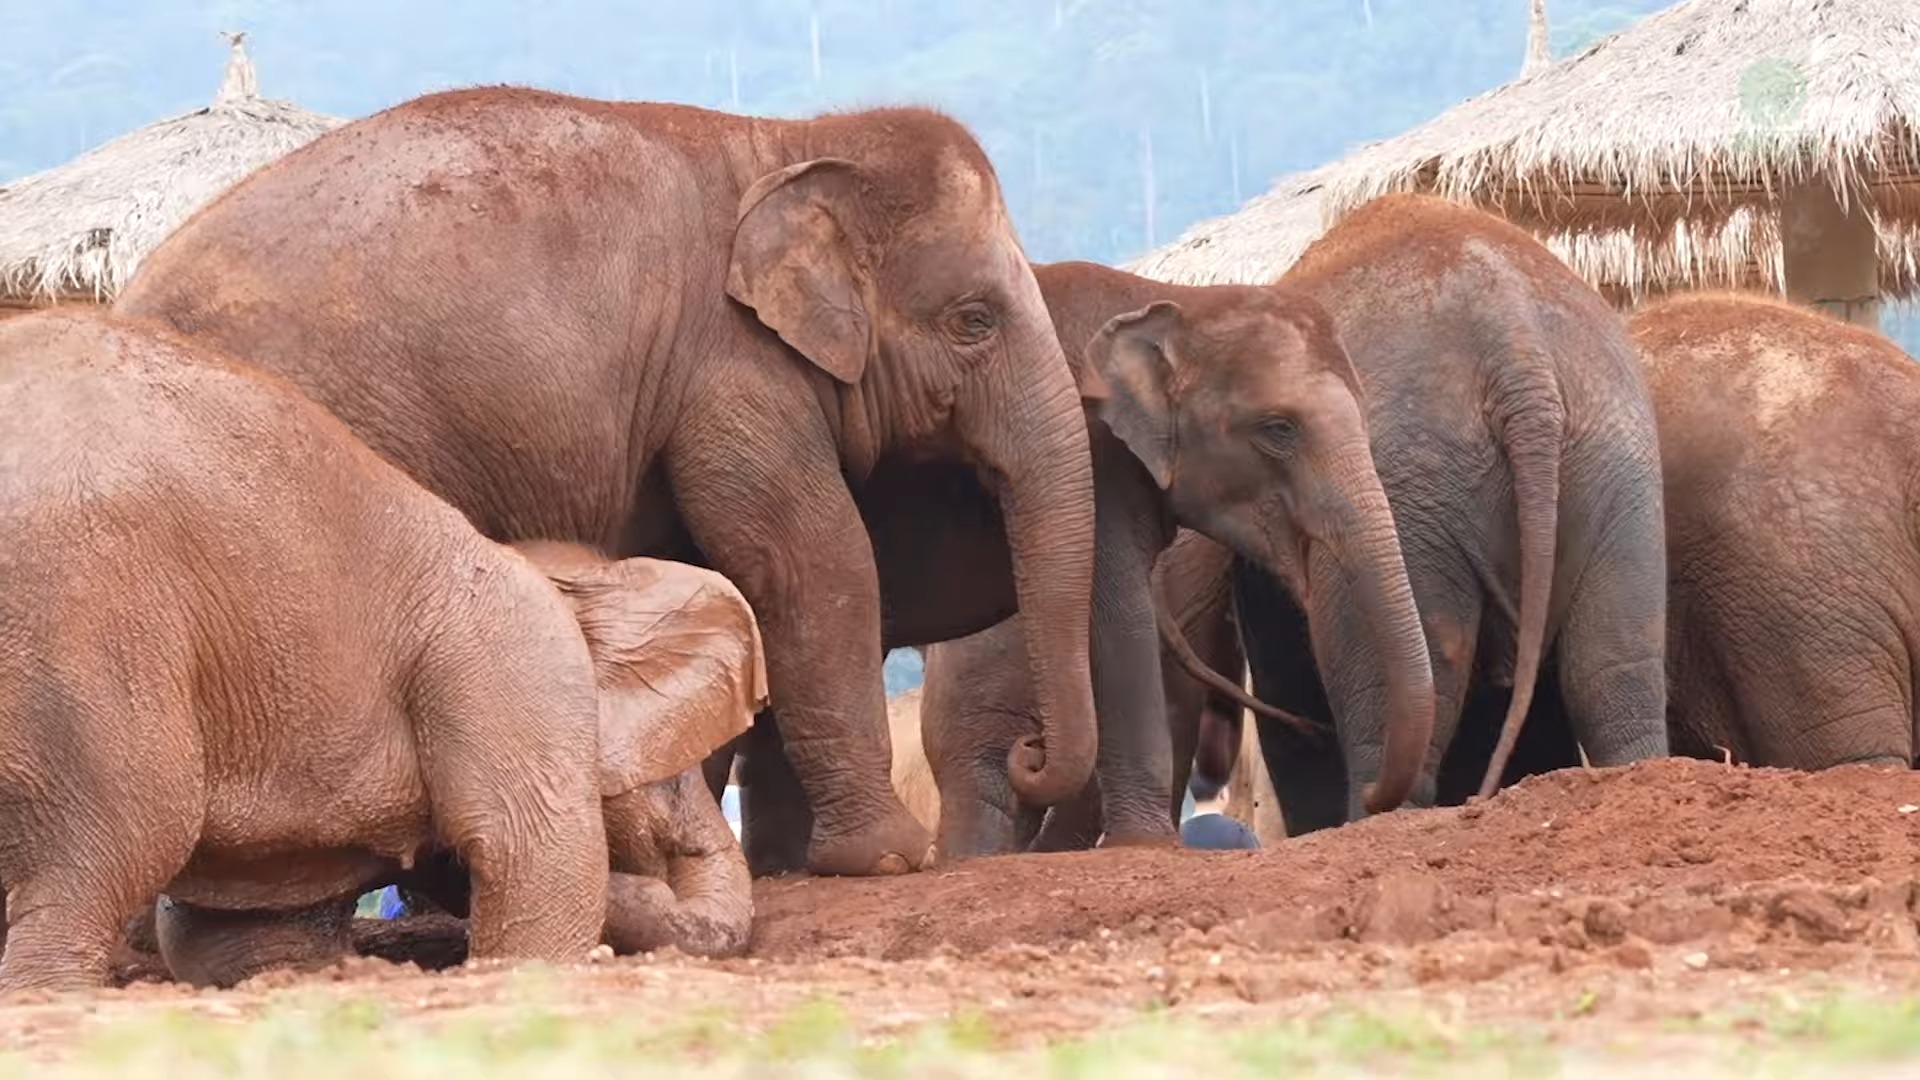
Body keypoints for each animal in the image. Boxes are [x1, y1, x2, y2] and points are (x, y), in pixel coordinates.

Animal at [0, 311, 765, 991]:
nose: (640, 887)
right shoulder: (508, 655)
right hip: (86, 626)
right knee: (124, 837)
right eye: (670, 774)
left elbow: (240, 932)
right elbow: (532, 853)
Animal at [113, 87, 1100, 879]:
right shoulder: (731, 367)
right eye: (973, 321)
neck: (787, 143)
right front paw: (889, 861)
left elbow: (714, 572)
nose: (1030, 748)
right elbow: (810, 561)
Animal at [911, 260, 1437, 860]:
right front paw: (1144, 844)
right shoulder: (1089, 452)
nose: (1372, 794)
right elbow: (1120, 610)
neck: (1175, 304)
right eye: (1278, 429)